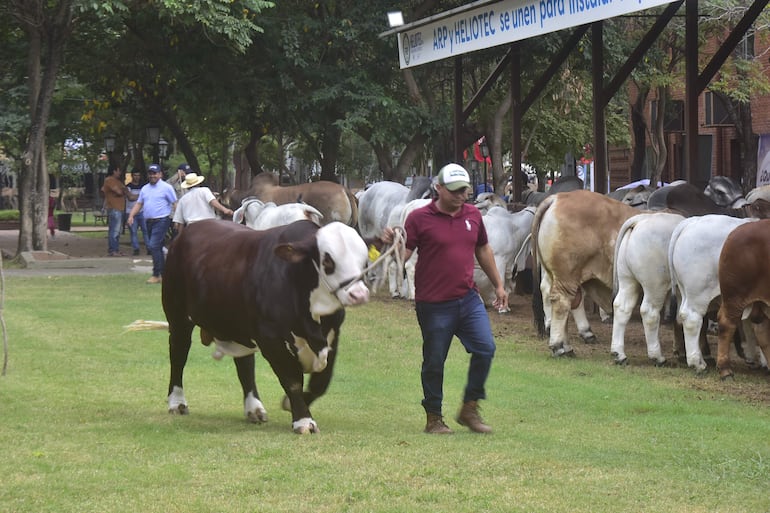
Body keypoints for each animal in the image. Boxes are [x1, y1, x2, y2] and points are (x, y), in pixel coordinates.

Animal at [162, 218, 368, 434]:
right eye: (328, 260)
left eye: (364, 261)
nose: (359, 295)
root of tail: (192, 227)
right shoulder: (271, 338)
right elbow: (292, 380)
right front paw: (303, 420)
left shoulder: (332, 335)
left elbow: (322, 381)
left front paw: (290, 404)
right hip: (177, 317)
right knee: (178, 356)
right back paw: (177, 402)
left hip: (239, 327)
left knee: (245, 365)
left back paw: (254, 408)